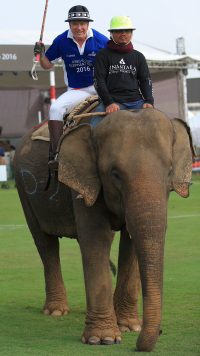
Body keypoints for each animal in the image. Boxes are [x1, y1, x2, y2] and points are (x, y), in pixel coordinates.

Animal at [13, 108, 195, 350]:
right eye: (114, 174)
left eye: (170, 171)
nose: (160, 332)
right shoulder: (84, 180)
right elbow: (96, 238)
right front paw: (103, 339)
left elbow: (130, 242)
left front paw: (130, 326)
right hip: (23, 186)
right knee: (45, 242)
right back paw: (56, 311)